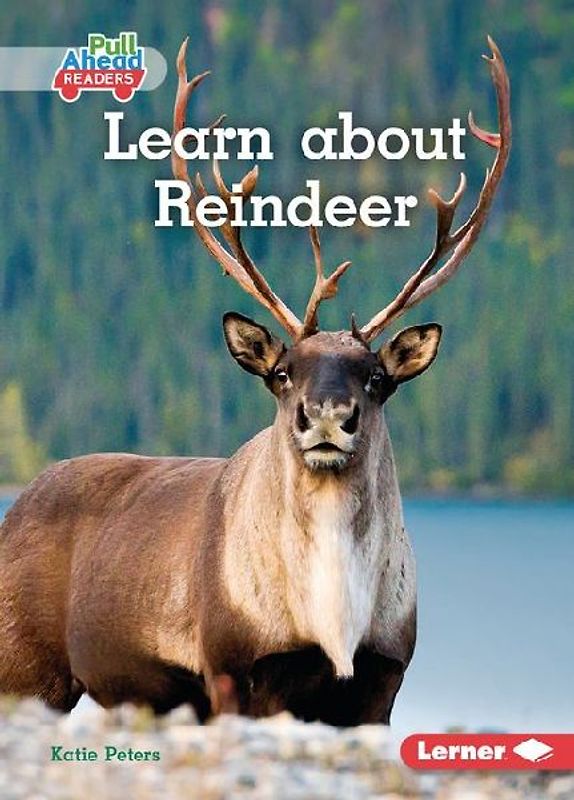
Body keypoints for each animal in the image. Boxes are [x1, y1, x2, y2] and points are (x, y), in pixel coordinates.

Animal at [0, 37, 510, 726]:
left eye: (377, 377)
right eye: (281, 373)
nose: (328, 415)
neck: (334, 619)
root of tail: (16, 505)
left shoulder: (382, 680)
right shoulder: (233, 671)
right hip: (26, 670)